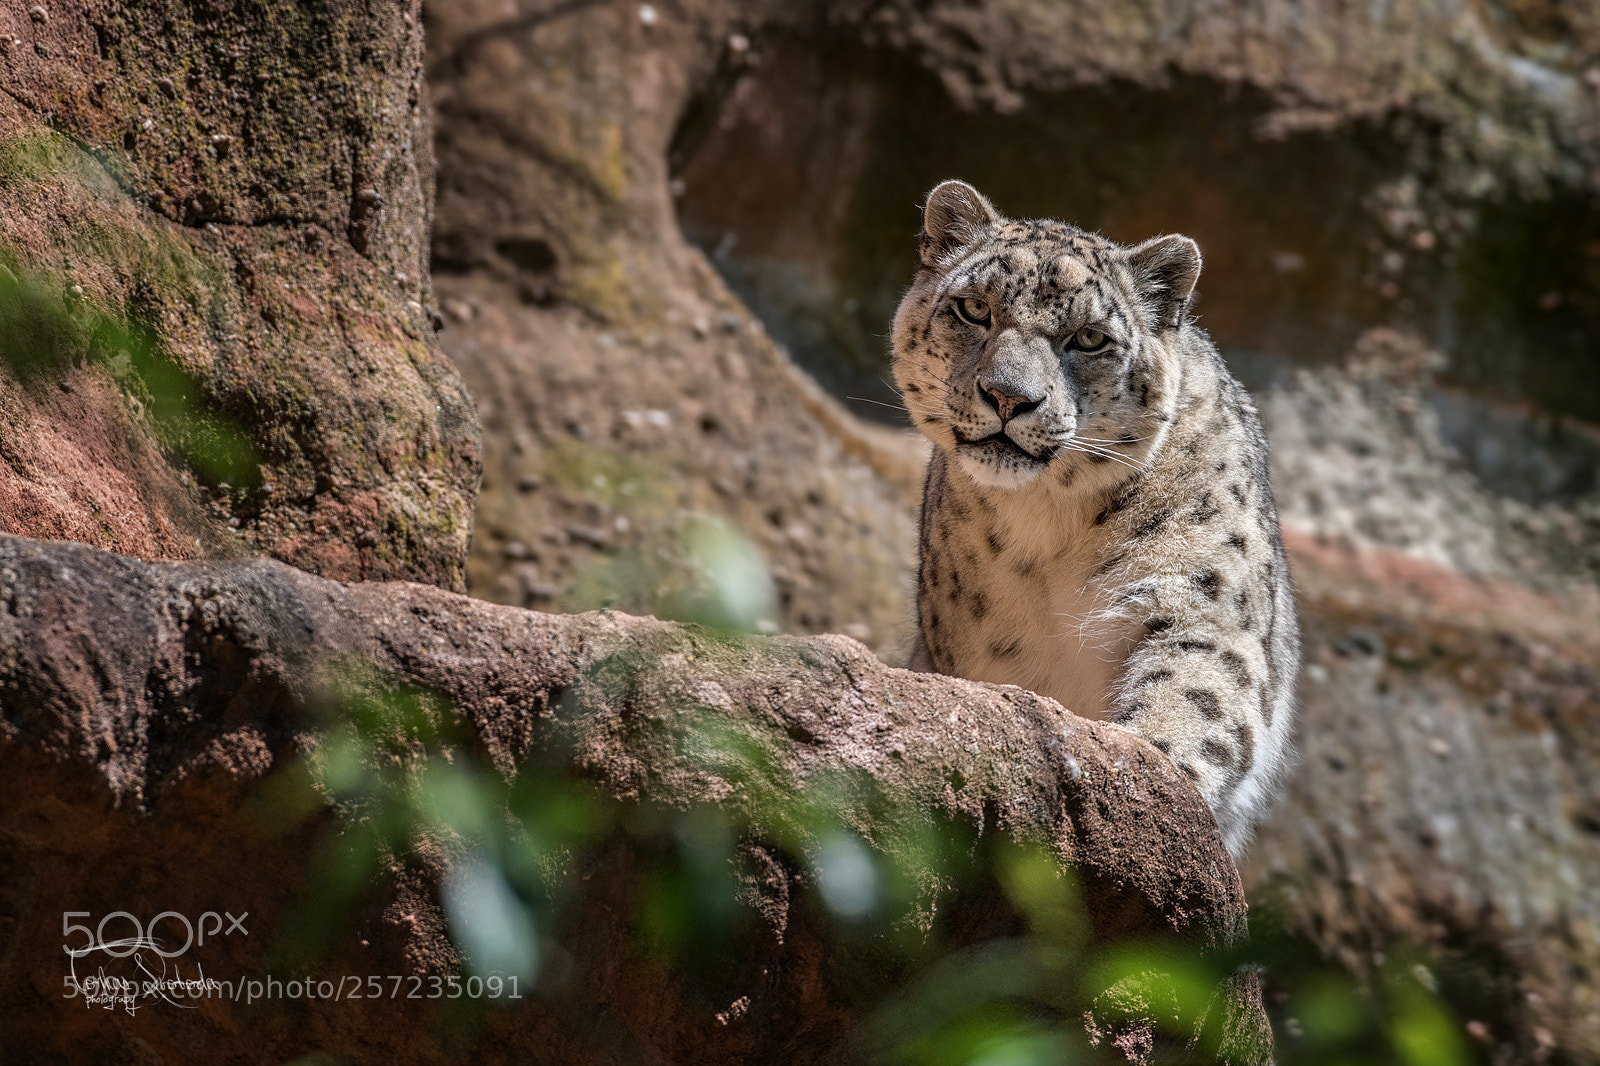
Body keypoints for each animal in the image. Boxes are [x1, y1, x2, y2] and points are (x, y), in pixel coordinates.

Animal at [892, 180, 1298, 856]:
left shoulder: (1201, 601)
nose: (1008, 396)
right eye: (974, 309)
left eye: (1088, 339)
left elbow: (1198, 693)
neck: (1048, 523)